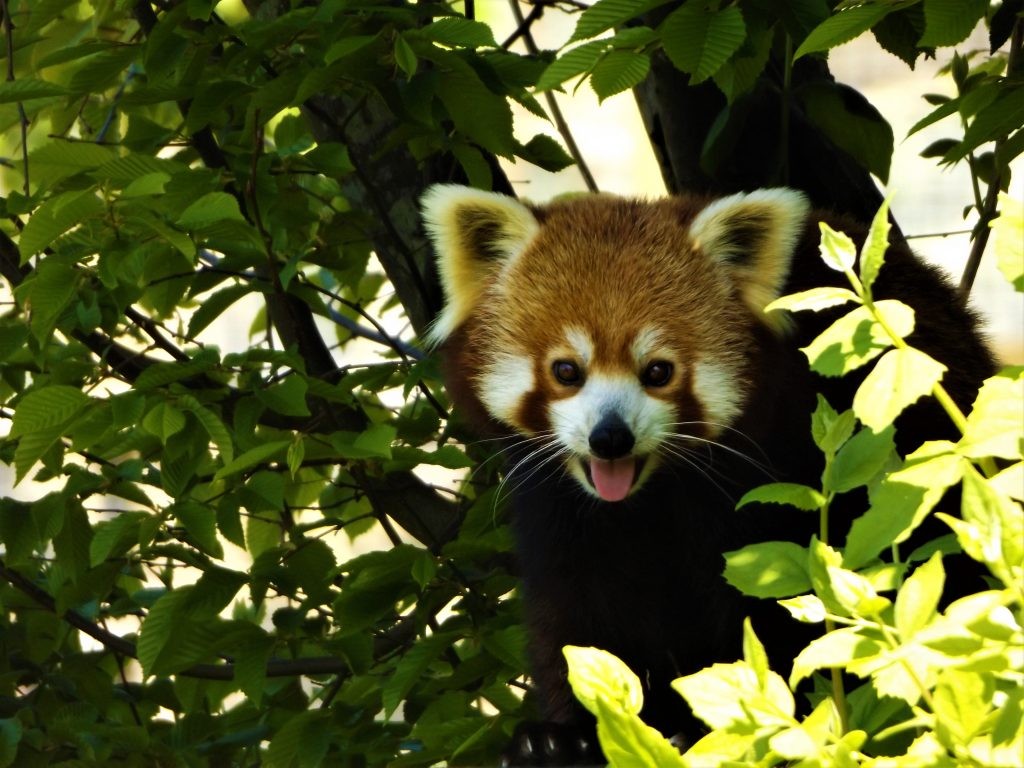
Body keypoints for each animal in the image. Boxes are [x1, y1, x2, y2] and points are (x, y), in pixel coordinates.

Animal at [415, 185, 991, 765]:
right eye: (566, 371)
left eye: (658, 371)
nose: (610, 437)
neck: (648, 496)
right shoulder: (557, 507)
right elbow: (574, 616)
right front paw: (563, 734)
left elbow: (773, 611)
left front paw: (734, 719)